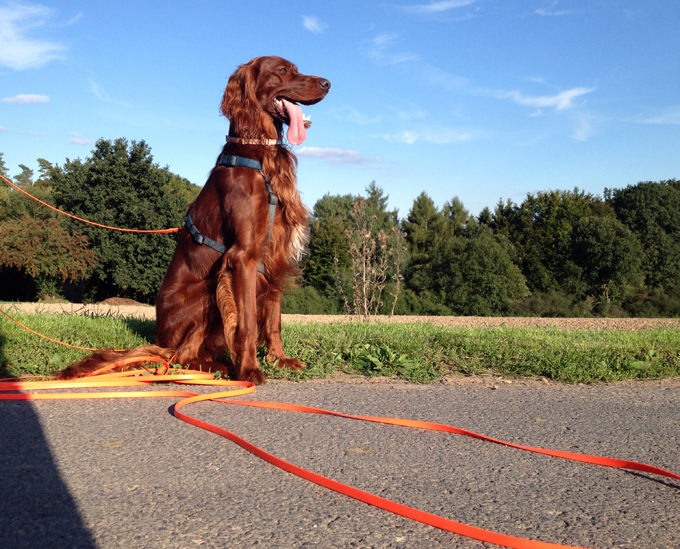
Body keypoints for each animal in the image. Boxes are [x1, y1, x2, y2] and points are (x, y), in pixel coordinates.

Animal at [59, 54, 330, 382]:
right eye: (282, 70)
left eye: (296, 69)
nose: (328, 83)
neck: (258, 153)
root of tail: (161, 339)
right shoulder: (243, 257)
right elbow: (247, 324)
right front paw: (249, 369)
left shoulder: (273, 256)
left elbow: (273, 320)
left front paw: (279, 359)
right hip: (208, 290)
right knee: (181, 356)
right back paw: (221, 368)